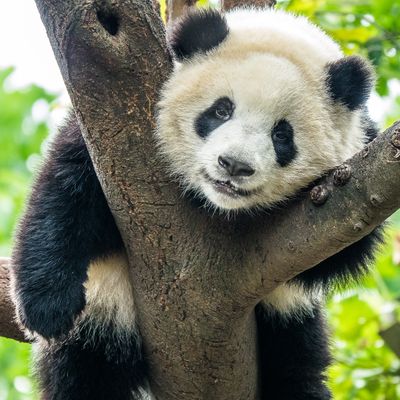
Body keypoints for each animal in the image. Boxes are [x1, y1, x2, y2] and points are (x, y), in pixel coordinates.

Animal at [10, 7, 382, 400]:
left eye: (282, 134)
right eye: (221, 110)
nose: (234, 165)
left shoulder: (358, 146)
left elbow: (343, 251)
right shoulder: (107, 144)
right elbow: (65, 190)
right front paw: (47, 308)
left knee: (297, 367)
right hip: (104, 312)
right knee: (86, 372)